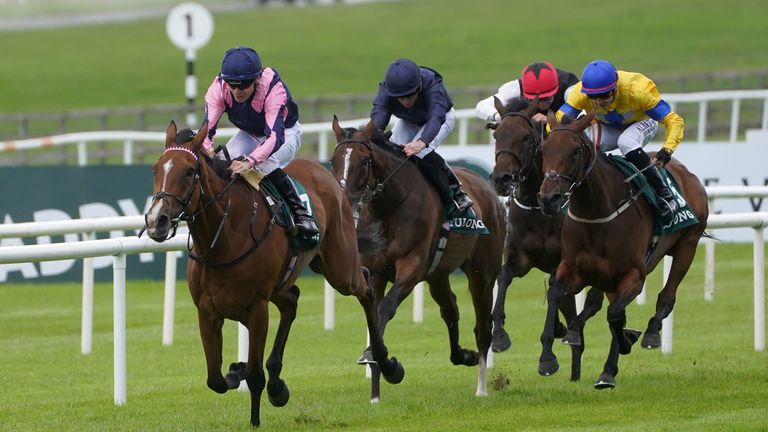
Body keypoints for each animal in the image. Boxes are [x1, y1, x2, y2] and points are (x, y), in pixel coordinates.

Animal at [146, 120, 404, 426]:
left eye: (188, 171)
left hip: (340, 268)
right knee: (292, 301)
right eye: (156, 169)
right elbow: (215, 379)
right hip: (286, 281)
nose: (157, 221)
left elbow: (254, 376)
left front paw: (254, 418)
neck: (223, 239)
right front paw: (238, 370)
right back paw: (277, 384)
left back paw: (386, 362)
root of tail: (326, 174)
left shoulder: (257, 308)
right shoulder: (207, 311)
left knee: (366, 287)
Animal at [328, 116, 504, 400]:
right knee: (450, 309)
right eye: (333, 161)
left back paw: (481, 388)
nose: (344, 199)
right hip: (438, 274)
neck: (389, 207)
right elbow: (373, 315)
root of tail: (486, 189)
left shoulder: (411, 267)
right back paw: (463, 355)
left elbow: (386, 307)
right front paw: (375, 385)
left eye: (364, 161)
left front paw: (389, 367)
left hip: (483, 275)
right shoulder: (375, 272)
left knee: (482, 329)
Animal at [486, 97, 608, 382]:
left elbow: (554, 291)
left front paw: (547, 357)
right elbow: (503, 277)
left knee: (592, 304)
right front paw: (499, 335)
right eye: (497, 135)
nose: (501, 179)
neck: (538, 207)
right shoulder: (520, 257)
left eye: (526, 138)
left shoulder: (562, 263)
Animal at [536, 111, 708, 388]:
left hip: (687, 246)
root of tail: (687, 173)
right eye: (543, 149)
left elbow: (615, 315)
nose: (548, 199)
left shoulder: (634, 277)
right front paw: (547, 358)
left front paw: (619, 353)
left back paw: (649, 334)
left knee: (666, 296)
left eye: (575, 151)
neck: (597, 213)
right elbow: (555, 294)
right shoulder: (573, 269)